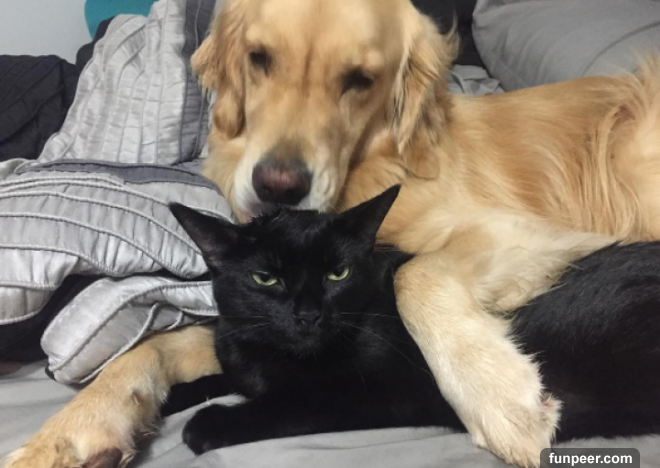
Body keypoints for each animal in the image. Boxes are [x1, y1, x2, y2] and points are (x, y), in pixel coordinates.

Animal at [169, 186, 660, 455]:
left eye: (337, 274)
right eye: (265, 278)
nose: (308, 314)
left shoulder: (377, 392)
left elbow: (290, 404)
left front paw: (209, 423)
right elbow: (226, 375)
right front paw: (177, 394)